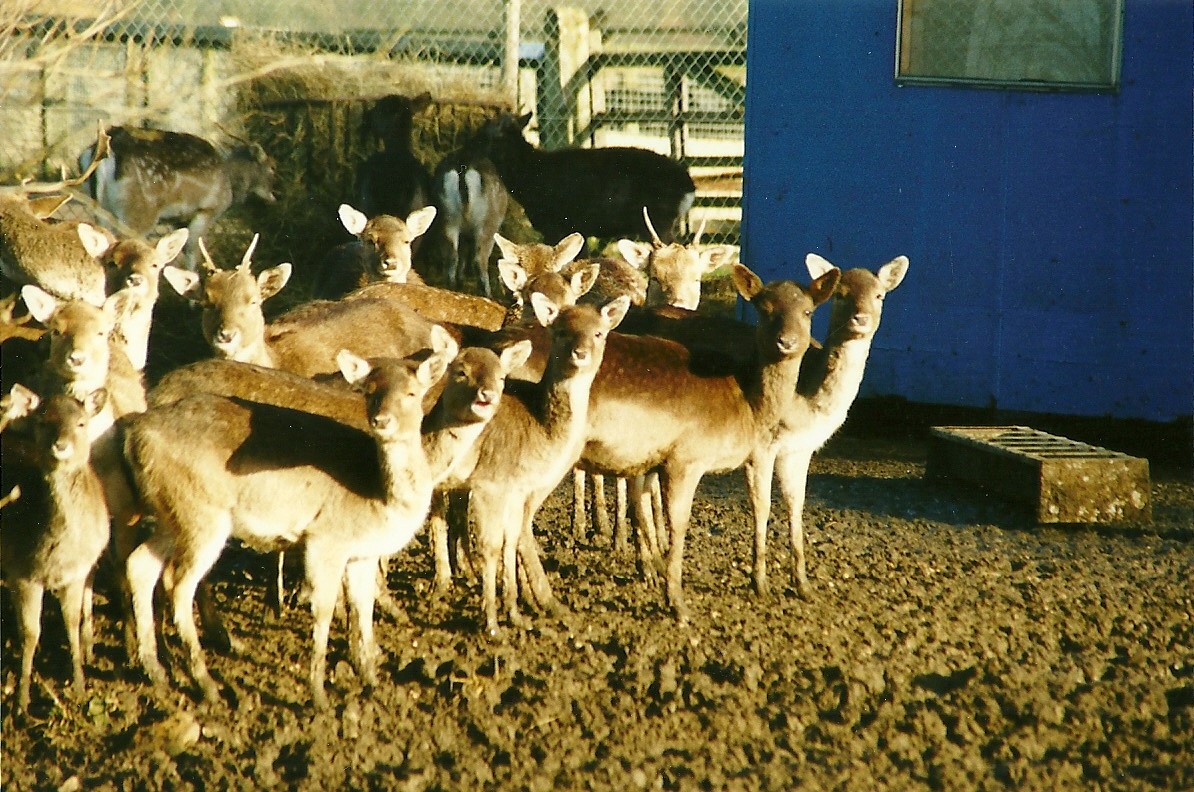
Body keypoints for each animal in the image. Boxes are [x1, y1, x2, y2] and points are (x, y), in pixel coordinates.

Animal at [1, 384, 111, 714]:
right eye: (42, 421)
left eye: (81, 423)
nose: (60, 446)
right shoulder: (23, 573)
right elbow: (31, 633)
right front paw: (22, 701)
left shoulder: (76, 574)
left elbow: (70, 624)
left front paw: (80, 686)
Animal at [78, 125, 276, 271]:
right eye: (272, 167)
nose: (273, 197)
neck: (232, 186)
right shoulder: (207, 210)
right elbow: (192, 251)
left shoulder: (178, 219)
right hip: (140, 210)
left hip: (101, 208)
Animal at [123, 339, 464, 709]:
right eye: (369, 391)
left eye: (413, 392)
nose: (381, 419)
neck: (377, 497)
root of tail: (136, 436)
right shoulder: (325, 539)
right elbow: (324, 609)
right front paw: (319, 694)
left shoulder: (362, 553)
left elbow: (364, 609)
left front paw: (372, 681)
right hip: (201, 512)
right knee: (178, 583)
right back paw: (207, 683)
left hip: (171, 514)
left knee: (140, 565)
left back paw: (155, 670)